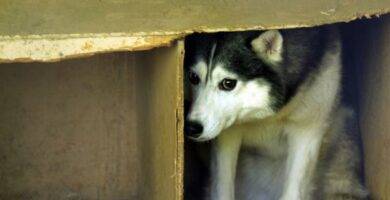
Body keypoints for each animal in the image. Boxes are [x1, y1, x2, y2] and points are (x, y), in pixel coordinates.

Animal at [184, 27, 368, 200]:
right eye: (193, 77)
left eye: (228, 83)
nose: (192, 127)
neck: (267, 116)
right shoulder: (227, 135)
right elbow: (221, 189)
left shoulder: (307, 130)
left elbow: (293, 192)